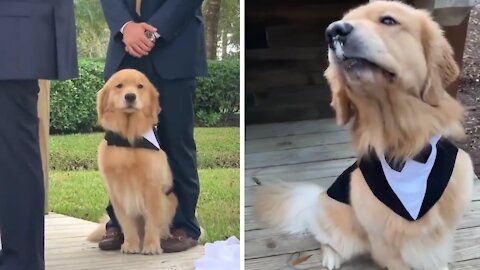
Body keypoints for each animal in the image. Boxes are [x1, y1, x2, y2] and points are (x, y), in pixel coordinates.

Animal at [87, 69, 177, 255]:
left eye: (140, 86)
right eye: (119, 86)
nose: (130, 96)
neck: (128, 140)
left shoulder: (153, 188)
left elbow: (152, 221)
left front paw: (151, 246)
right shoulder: (118, 191)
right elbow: (127, 223)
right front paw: (130, 245)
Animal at [253, 1, 474, 268]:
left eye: (388, 20)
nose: (333, 32)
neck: (405, 149)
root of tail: (317, 199)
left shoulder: (438, 233)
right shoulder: (388, 243)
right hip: (344, 230)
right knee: (325, 240)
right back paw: (330, 258)